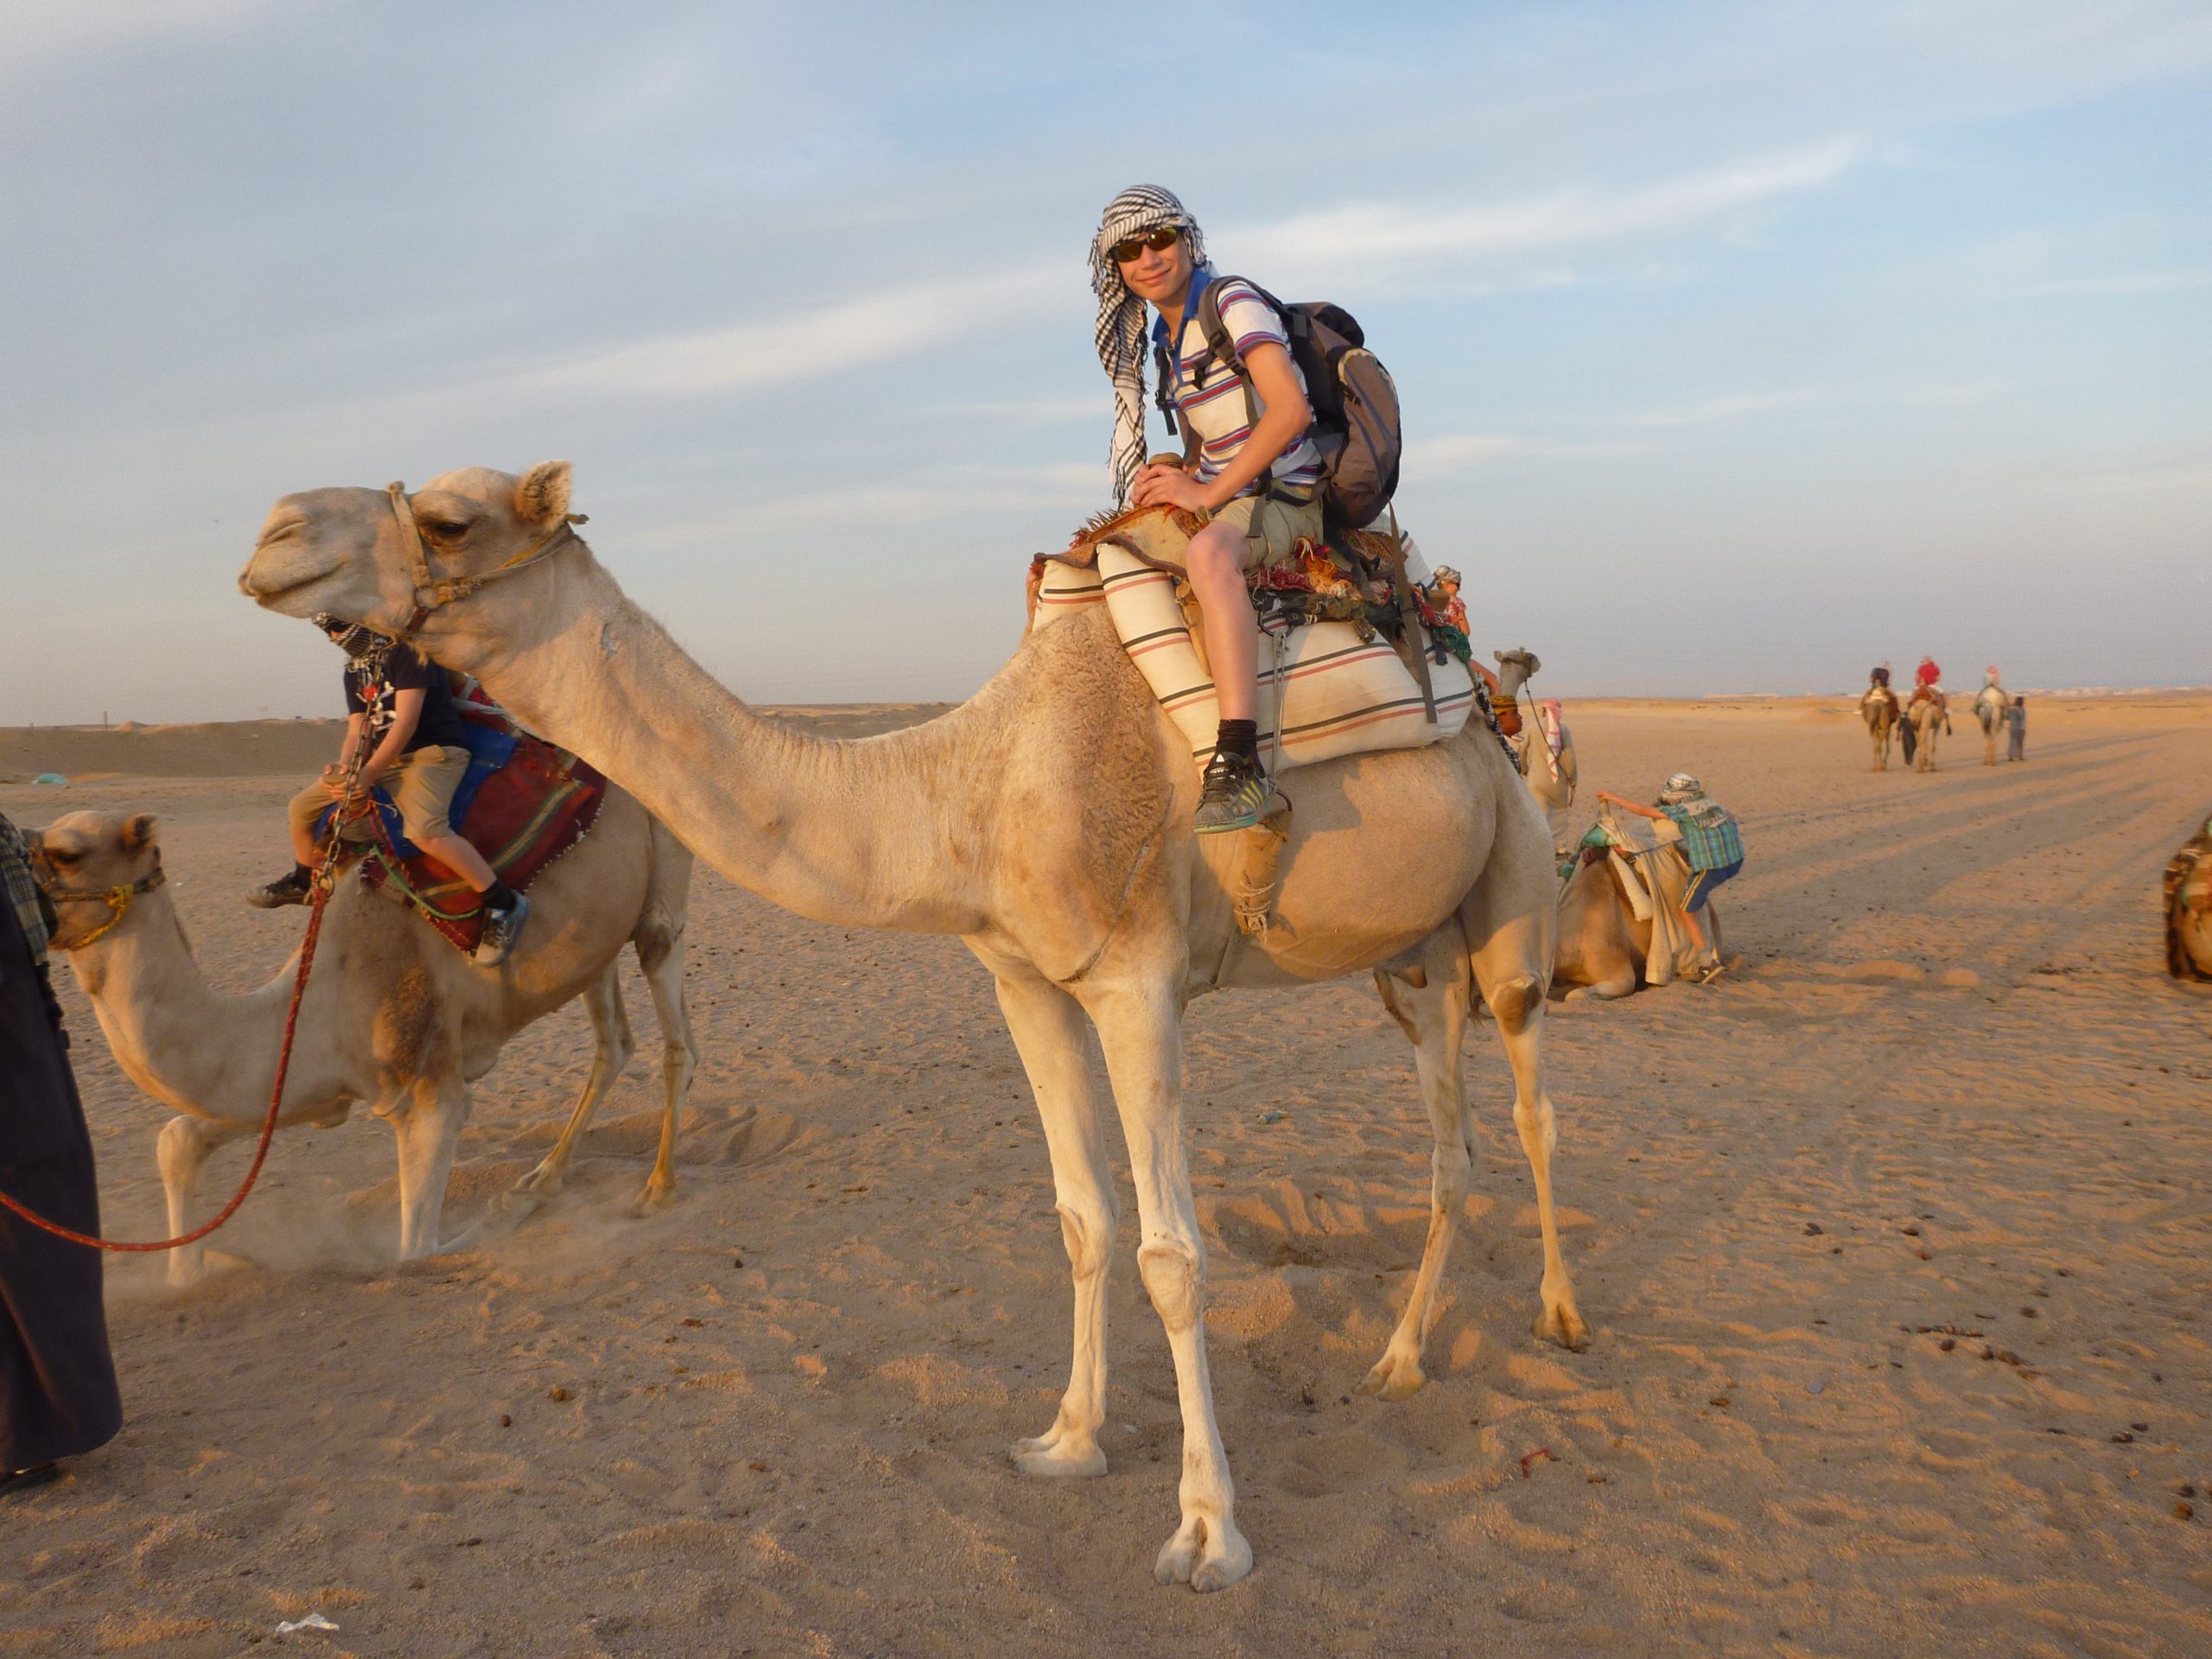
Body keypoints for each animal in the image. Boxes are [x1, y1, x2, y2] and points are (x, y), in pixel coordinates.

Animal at [42, 800, 698, 1292]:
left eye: (64, 853)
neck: (327, 986)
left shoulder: (430, 1089)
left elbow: (415, 1252)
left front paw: (505, 1211)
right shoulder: (307, 1084)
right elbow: (178, 1140)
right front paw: (201, 1265)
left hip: (664, 873)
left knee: (674, 1025)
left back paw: (655, 1190)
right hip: (597, 946)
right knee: (613, 1045)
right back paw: (543, 1177)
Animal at [242, 464, 1592, 1601]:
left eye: (447, 519)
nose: (272, 537)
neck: (973, 790)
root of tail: (1487, 700)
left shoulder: (1138, 984)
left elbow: (1172, 1252)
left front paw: (1209, 1531)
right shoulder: (1026, 981)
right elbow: (1082, 1218)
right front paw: (1067, 1439)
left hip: (1510, 902)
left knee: (1531, 1105)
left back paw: (1560, 1318)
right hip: (1409, 963)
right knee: (1451, 1148)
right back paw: (1400, 1360)